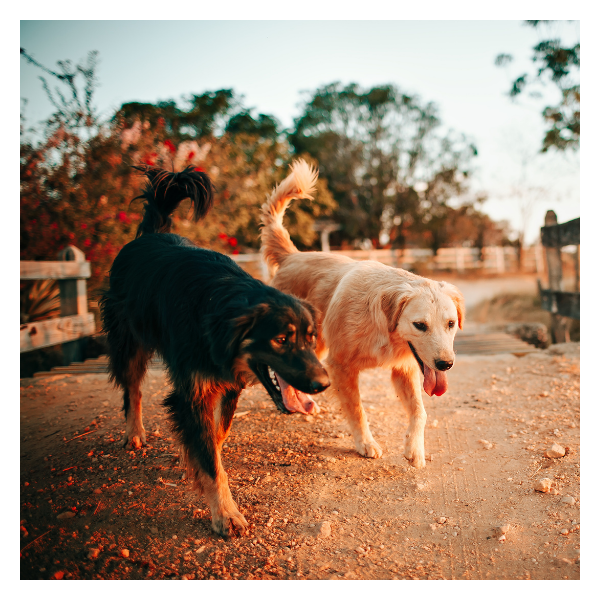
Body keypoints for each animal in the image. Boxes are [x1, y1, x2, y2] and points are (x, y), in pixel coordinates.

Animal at [101, 164, 330, 536]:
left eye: (311, 338)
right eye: (281, 340)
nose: (324, 385)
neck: (219, 309)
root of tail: (149, 235)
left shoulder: (229, 383)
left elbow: (216, 437)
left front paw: (195, 457)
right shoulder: (192, 391)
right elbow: (209, 459)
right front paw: (225, 513)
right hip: (128, 341)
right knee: (132, 389)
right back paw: (134, 433)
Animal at [258, 161, 464, 468]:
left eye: (450, 324)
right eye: (420, 325)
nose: (445, 365)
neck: (383, 330)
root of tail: (292, 256)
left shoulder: (403, 369)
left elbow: (420, 412)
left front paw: (414, 449)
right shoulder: (341, 366)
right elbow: (357, 410)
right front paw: (365, 443)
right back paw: (291, 403)